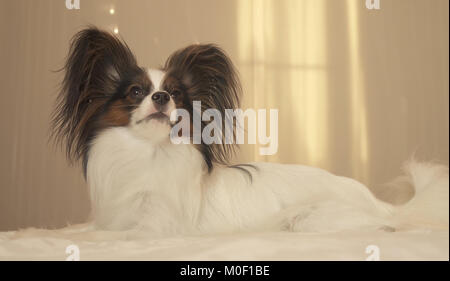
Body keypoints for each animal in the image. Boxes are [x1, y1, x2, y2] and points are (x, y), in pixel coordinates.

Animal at [51, 27, 446, 234]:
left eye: (176, 94)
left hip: (309, 219)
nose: (161, 97)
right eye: (135, 92)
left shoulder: (155, 228)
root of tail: (383, 206)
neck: (150, 155)